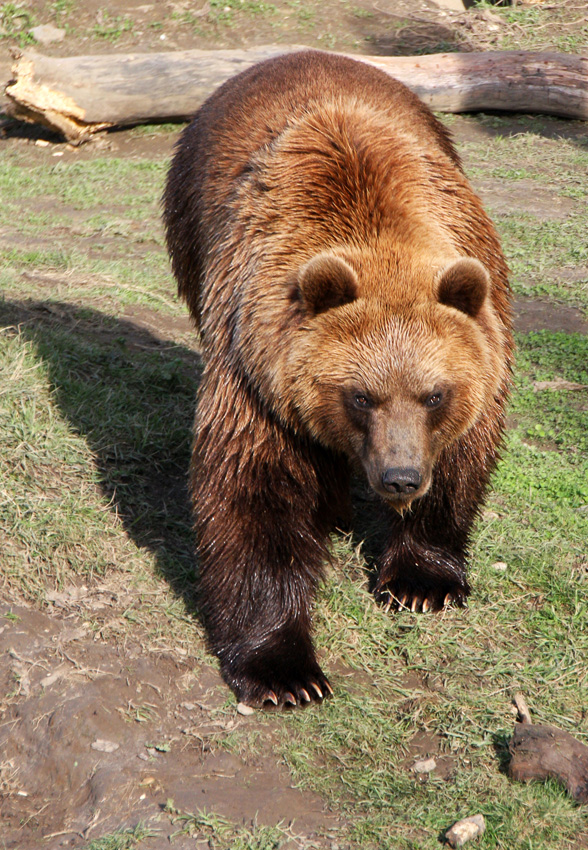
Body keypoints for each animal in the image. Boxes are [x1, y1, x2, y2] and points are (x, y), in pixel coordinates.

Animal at [163, 48, 512, 708]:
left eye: (434, 395)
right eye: (360, 396)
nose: (401, 477)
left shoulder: (483, 323)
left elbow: (463, 456)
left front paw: (423, 581)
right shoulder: (257, 365)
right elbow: (256, 490)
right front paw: (284, 670)